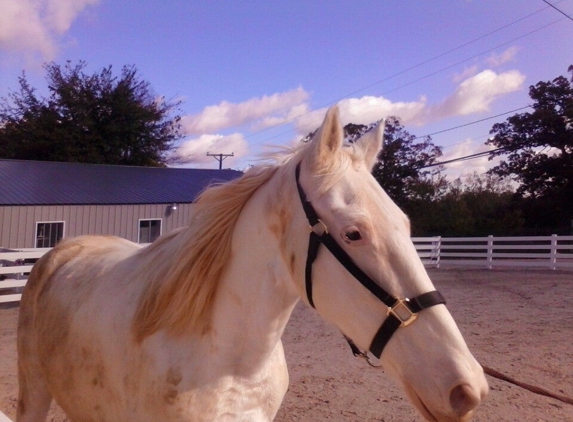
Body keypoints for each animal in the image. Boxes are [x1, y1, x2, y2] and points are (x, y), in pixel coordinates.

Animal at [15, 106, 484, 422]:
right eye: (354, 233)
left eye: (405, 224)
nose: (467, 388)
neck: (231, 367)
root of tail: (63, 250)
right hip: (34, 393)